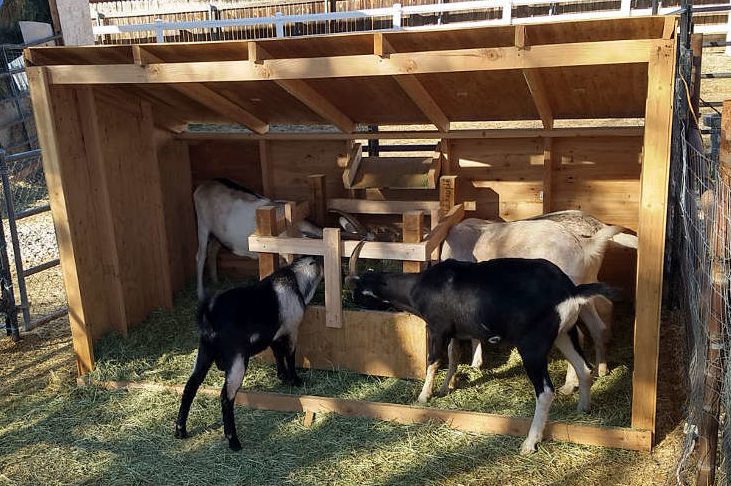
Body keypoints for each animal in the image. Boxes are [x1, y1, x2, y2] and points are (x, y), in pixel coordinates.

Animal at [175, 256, 323, 451]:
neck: (294, 280)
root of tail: (209, 315)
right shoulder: (291, 331)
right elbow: (290, 356)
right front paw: (295, 380)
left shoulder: (275, 335)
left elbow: (277, 355)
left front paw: (282, 377)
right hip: (237, 362)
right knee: (226, 396)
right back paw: (234, 441)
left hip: (204, 353)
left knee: (190, 387)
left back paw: (181, 431)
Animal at [194, 178, 368, 301]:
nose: (345, 283)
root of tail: (203, 186)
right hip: (202, 224)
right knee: (201, 255)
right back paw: (201, 294)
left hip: (218, 234)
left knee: (213, 249)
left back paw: (216, 281)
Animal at [346, 242, 616, 454]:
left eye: (358, 291)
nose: (351, 304)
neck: (420, 287)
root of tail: (568, 290)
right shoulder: (456, 332)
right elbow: (453, 357)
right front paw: (445, 388)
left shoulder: (437, 327)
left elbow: (433, 360)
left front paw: (424, 396)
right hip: (564, 334)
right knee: (583, 369)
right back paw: (583, 408)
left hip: (533, 345)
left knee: (546, 391)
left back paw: (530, 443)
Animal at [441, 217, 620, 394]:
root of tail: (585, 246)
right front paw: (475, 364)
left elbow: (452, 348)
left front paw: (446, 386)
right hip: (585, 290)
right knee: (597, 326)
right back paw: (600, 370)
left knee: (581, 335)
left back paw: (570, 385)